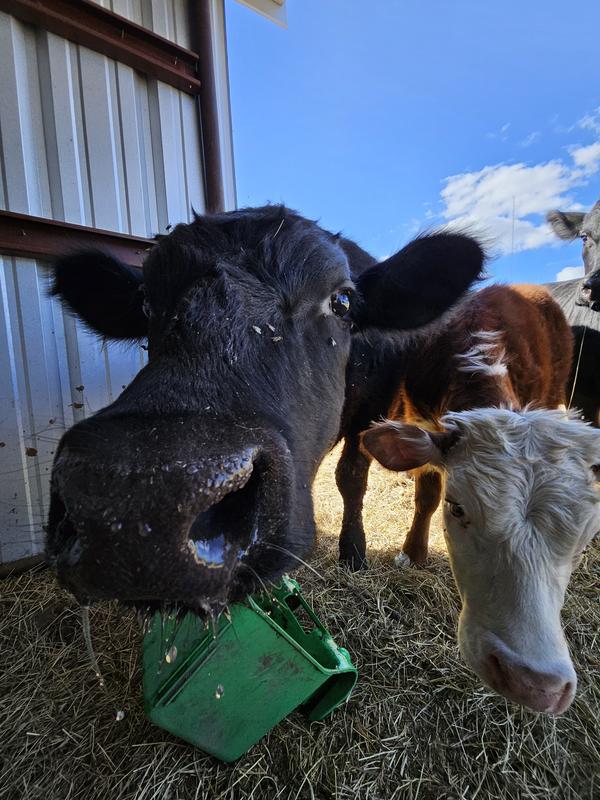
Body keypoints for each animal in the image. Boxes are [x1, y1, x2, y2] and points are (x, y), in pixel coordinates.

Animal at [46, 205, 484, 619]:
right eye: (145, 303)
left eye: (342, 302)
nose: (139, 496)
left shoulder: (373, 408)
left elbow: (351, 478)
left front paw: (354, 552)